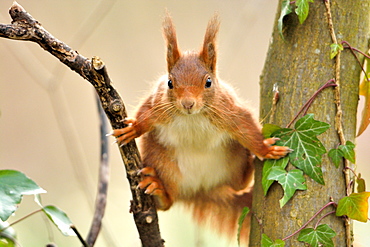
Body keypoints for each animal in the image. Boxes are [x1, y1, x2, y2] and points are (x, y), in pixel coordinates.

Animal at [111, 13, 290, 245]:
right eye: (170, 82)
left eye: (208, 82)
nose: (188, 104)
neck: (192, 117)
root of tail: (202, 190)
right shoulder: (158, 103)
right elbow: (145, 115)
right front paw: (133, 129)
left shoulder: (229, 111)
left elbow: (246, 128)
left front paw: (266, 150)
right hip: (164, 163)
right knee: (168, 202)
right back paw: (158, 191)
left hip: (234, 161)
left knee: (239, 185)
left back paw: (251, 164)